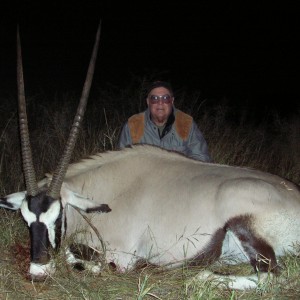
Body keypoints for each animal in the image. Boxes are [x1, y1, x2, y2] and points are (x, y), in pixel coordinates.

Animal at [0, 23, 300, 290]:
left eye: (58, 217)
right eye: (26, 220)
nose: (39, 271)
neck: (104, 196)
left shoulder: (120, 254)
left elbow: (81, 257)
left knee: (273, 277)